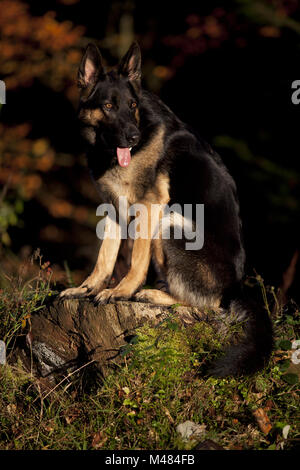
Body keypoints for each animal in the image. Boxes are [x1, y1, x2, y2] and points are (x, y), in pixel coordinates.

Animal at [59, 42, 274, 376]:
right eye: (108, 106)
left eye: (132, 105)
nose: (133, 137)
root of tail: (236, 288)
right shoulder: (112, 208)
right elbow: (104, 257)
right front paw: (87, 288)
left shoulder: (150, 207)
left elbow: (136, 259)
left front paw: (121, 291)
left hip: (171, 224)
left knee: (209, 306)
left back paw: (151, 294)